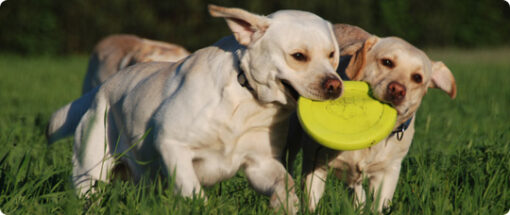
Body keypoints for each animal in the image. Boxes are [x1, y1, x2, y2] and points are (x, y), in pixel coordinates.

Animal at [47, 5, 342, 213]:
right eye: (298, 56)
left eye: (332, 55)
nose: (335, 85)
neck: (246, 99)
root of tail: (102, 90)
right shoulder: (172, 144)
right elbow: (193, 192)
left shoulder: (260, 164)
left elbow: (286, 184)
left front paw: (285, 205)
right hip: (90, 174)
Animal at [286, 23, 458, 212]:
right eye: (387, 62)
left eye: (417, 78)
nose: (397, 90)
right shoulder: (315, 163)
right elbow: (311, 203)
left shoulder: (388, 172)